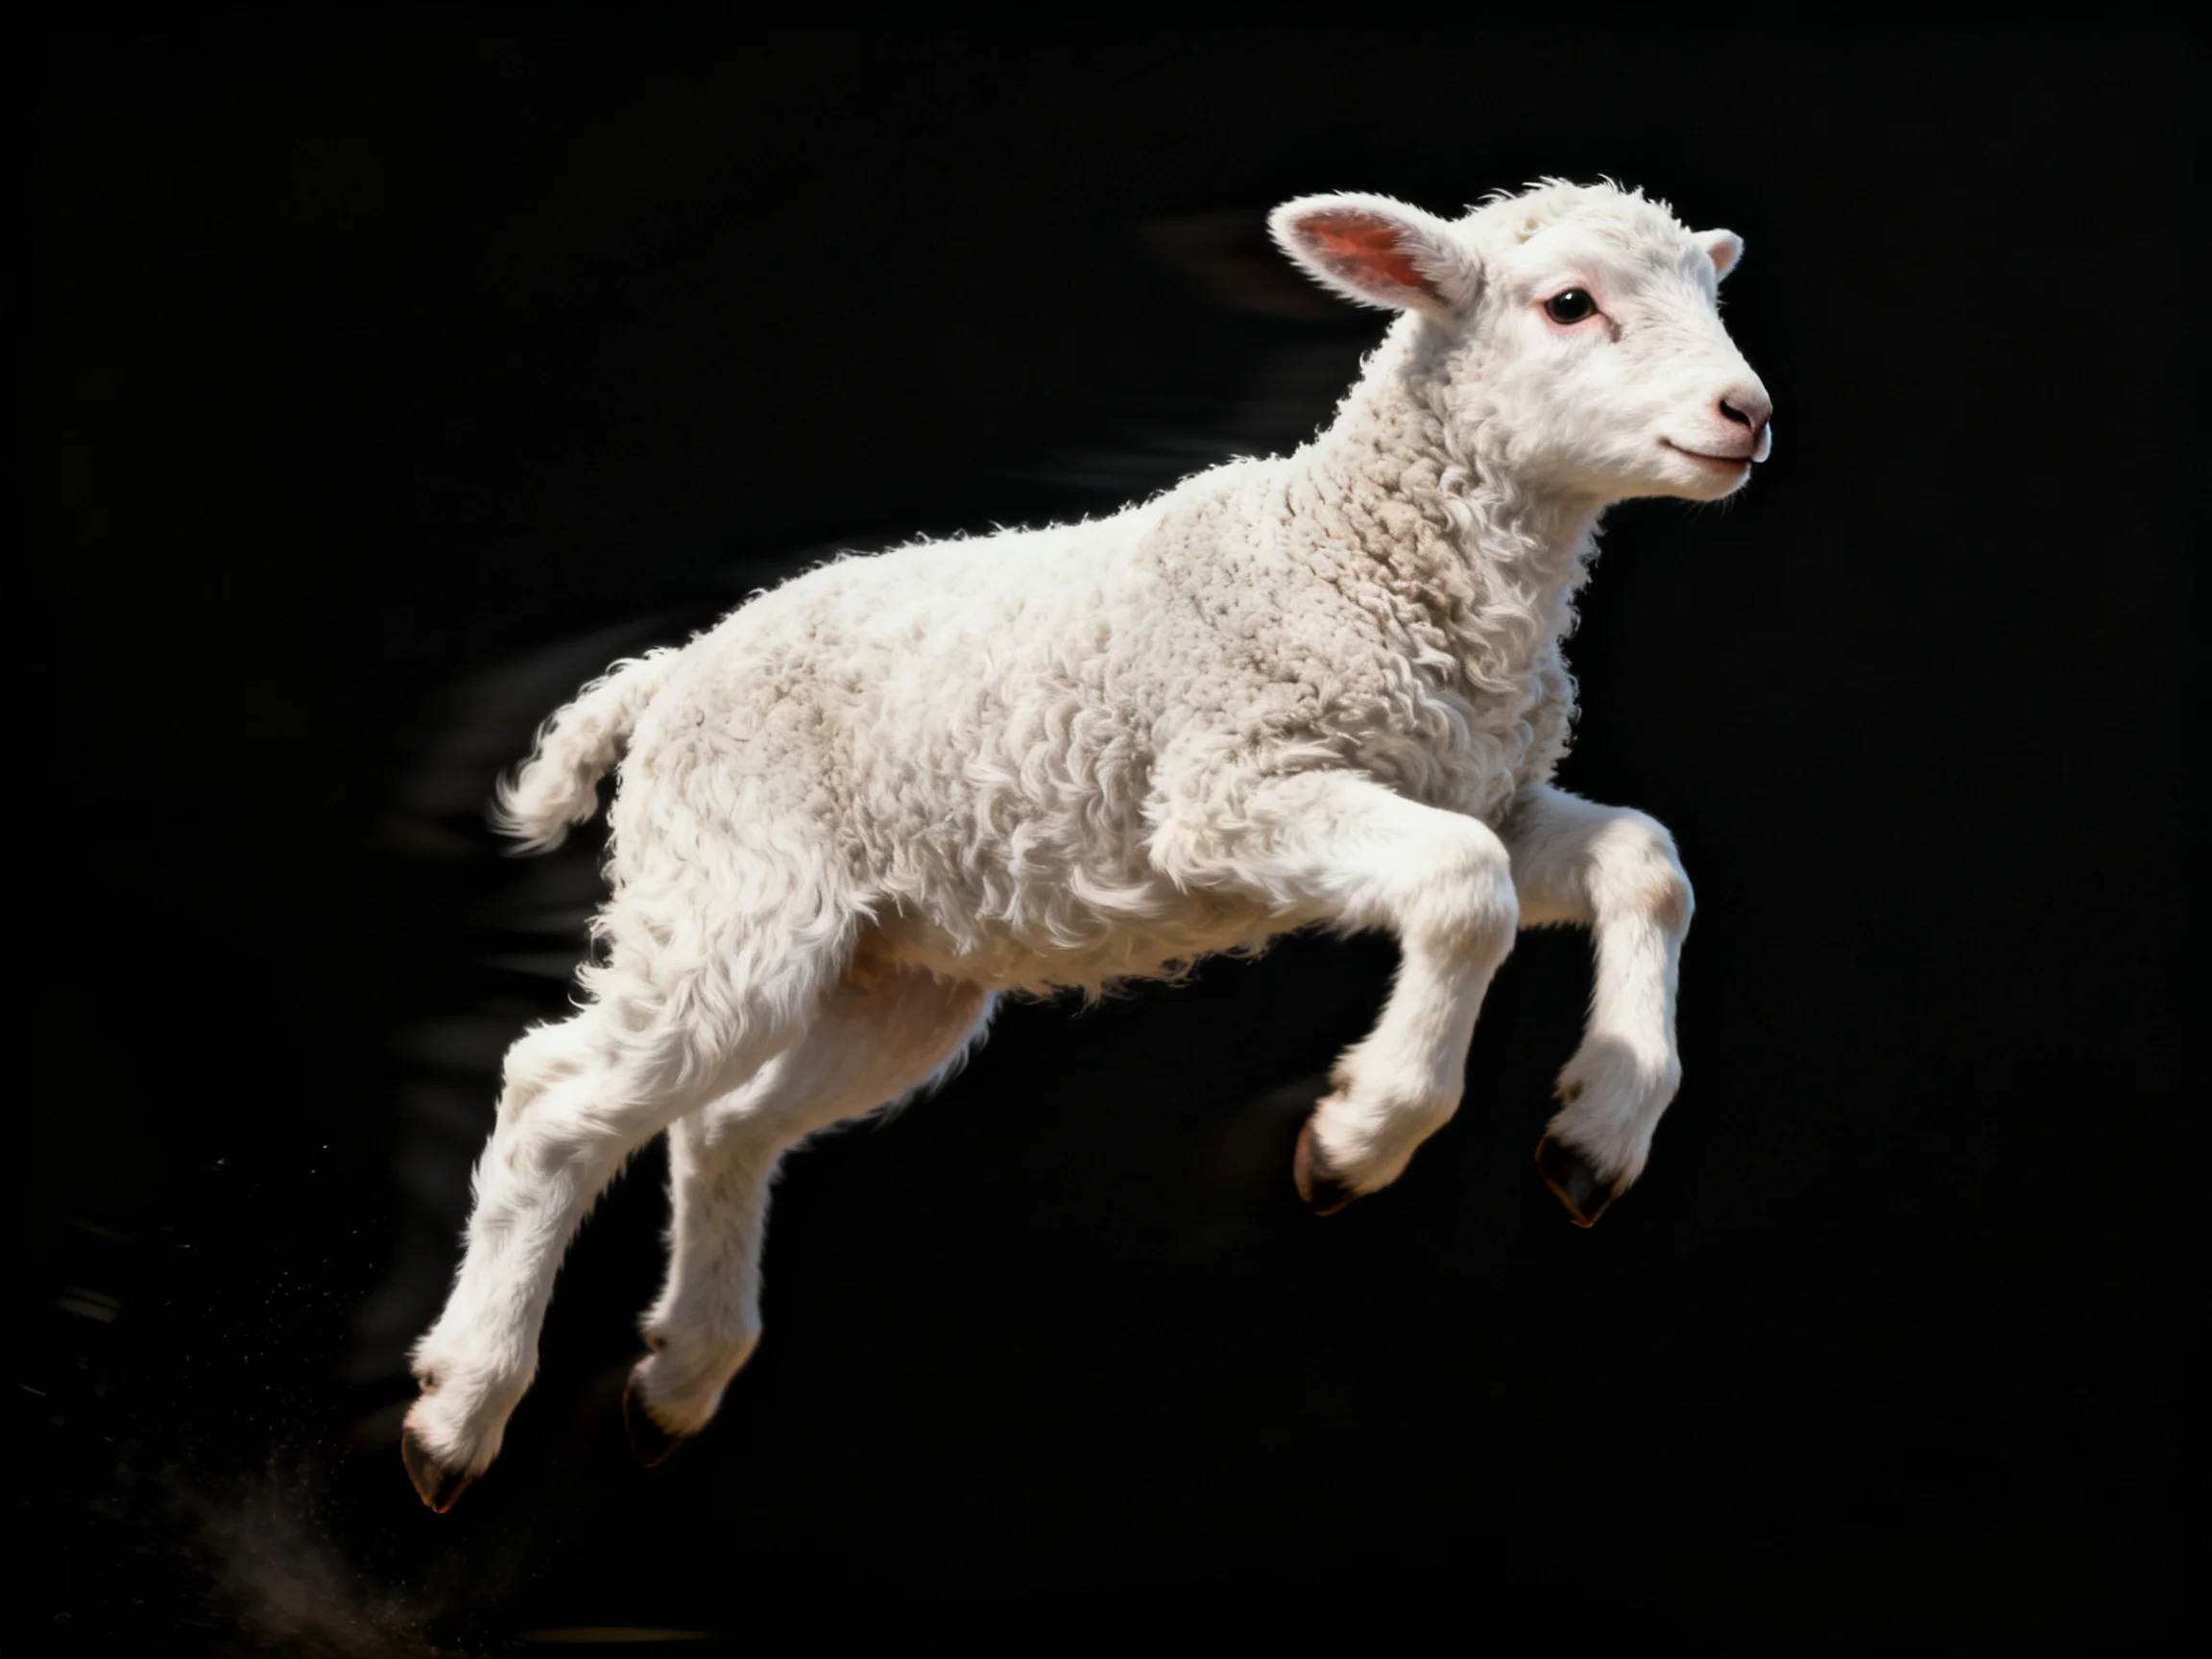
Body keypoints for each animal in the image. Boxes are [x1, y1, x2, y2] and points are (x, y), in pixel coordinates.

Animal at [400, 178, 1773, 1512]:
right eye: (1568, 304)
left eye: (1709, 294)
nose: (1746, 413)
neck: (1351, 554)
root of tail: (670, 674)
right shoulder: (1229, 789)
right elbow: (1462, 890)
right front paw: (1360, 1135)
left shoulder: (1483, 790)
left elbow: (1645, 862)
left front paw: (1600, 1132)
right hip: (735, 891)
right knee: (555, 1100)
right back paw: (458, 1413)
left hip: (892, 977)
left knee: (720, 1125)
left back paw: (677, 1377)